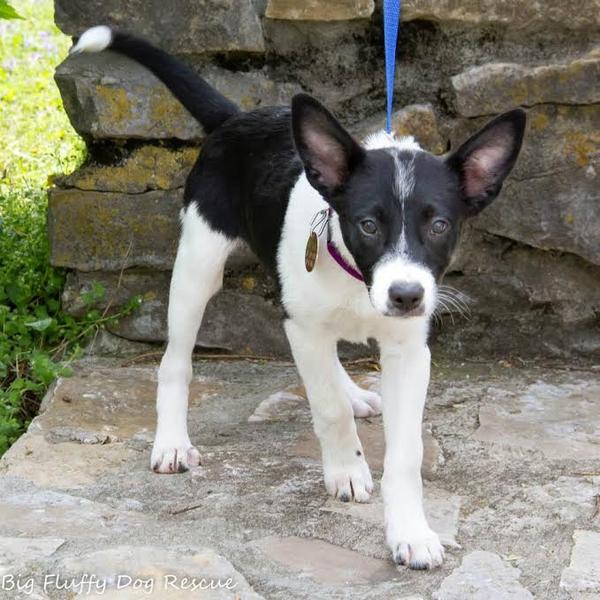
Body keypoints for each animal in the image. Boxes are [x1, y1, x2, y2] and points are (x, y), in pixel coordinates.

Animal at [71, 26, 525, 569]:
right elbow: (327, 408)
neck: (353, 274)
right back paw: (173, 443)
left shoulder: (408, 350)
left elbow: (406, 452)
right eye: (367, 225)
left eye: (439, 225)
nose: (406, 296)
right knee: (176, 361)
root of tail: (235, 118)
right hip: (198, 263)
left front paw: (411, 532)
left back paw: (353, 392)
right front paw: (346, 470)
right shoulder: (304, 325)